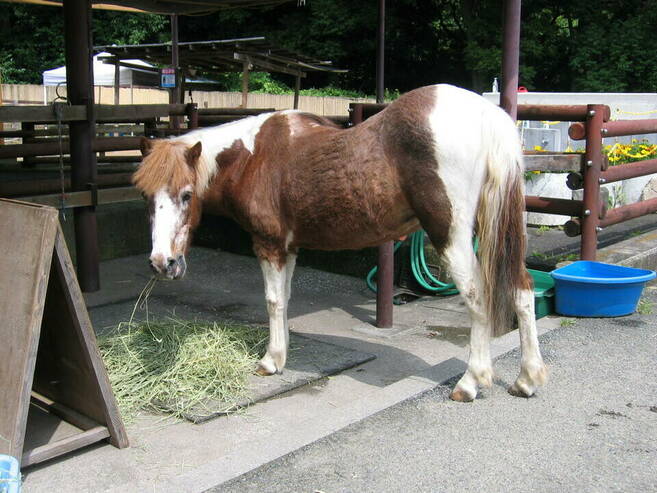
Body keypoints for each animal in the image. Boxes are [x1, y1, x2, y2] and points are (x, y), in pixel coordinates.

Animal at [133, 84, 547, 402]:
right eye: (145, 197)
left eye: (187, 195)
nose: (162, 263)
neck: (253, 156)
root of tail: (486, 114)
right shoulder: (289, 248)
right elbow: (284, 300)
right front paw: (282, 355)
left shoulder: (269, 244)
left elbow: (272, 301)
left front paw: (270, 361)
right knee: (522, 289)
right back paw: (527, 379)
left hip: (451, 237)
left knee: (479, 297)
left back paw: (470, 382)